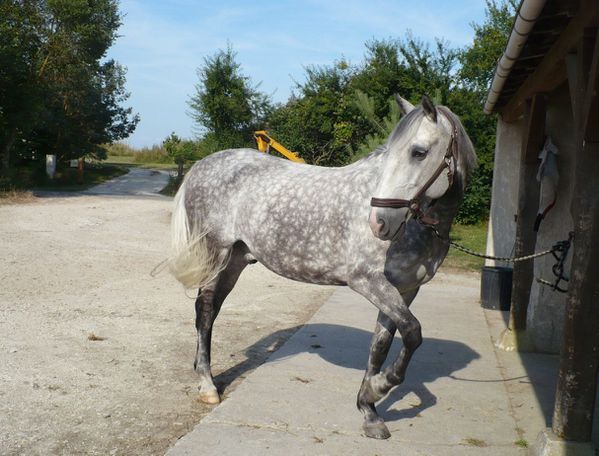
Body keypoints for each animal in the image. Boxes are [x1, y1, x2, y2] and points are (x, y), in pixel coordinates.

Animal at [169, 95, 478, 438]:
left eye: (419, 152)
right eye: (392, 152)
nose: (379, 222)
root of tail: (203, 164)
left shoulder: (405, 290)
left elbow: (381, 345)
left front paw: (369, 408)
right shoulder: (367, 281)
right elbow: (412, 333)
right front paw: (379, 388)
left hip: (235, 260)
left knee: (211, 310)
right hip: (216, 255)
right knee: (205, 311)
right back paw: (207, 385)